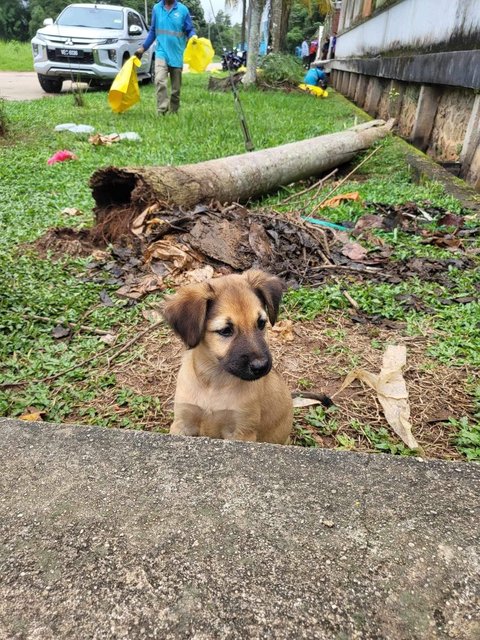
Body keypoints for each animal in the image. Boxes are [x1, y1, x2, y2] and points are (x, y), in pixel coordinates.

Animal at [162, 270, 292, 444]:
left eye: (261, 323)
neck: (214, 382)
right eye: (225, 330)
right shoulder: (183, 422)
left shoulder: (242, 430)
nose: (261, 366)